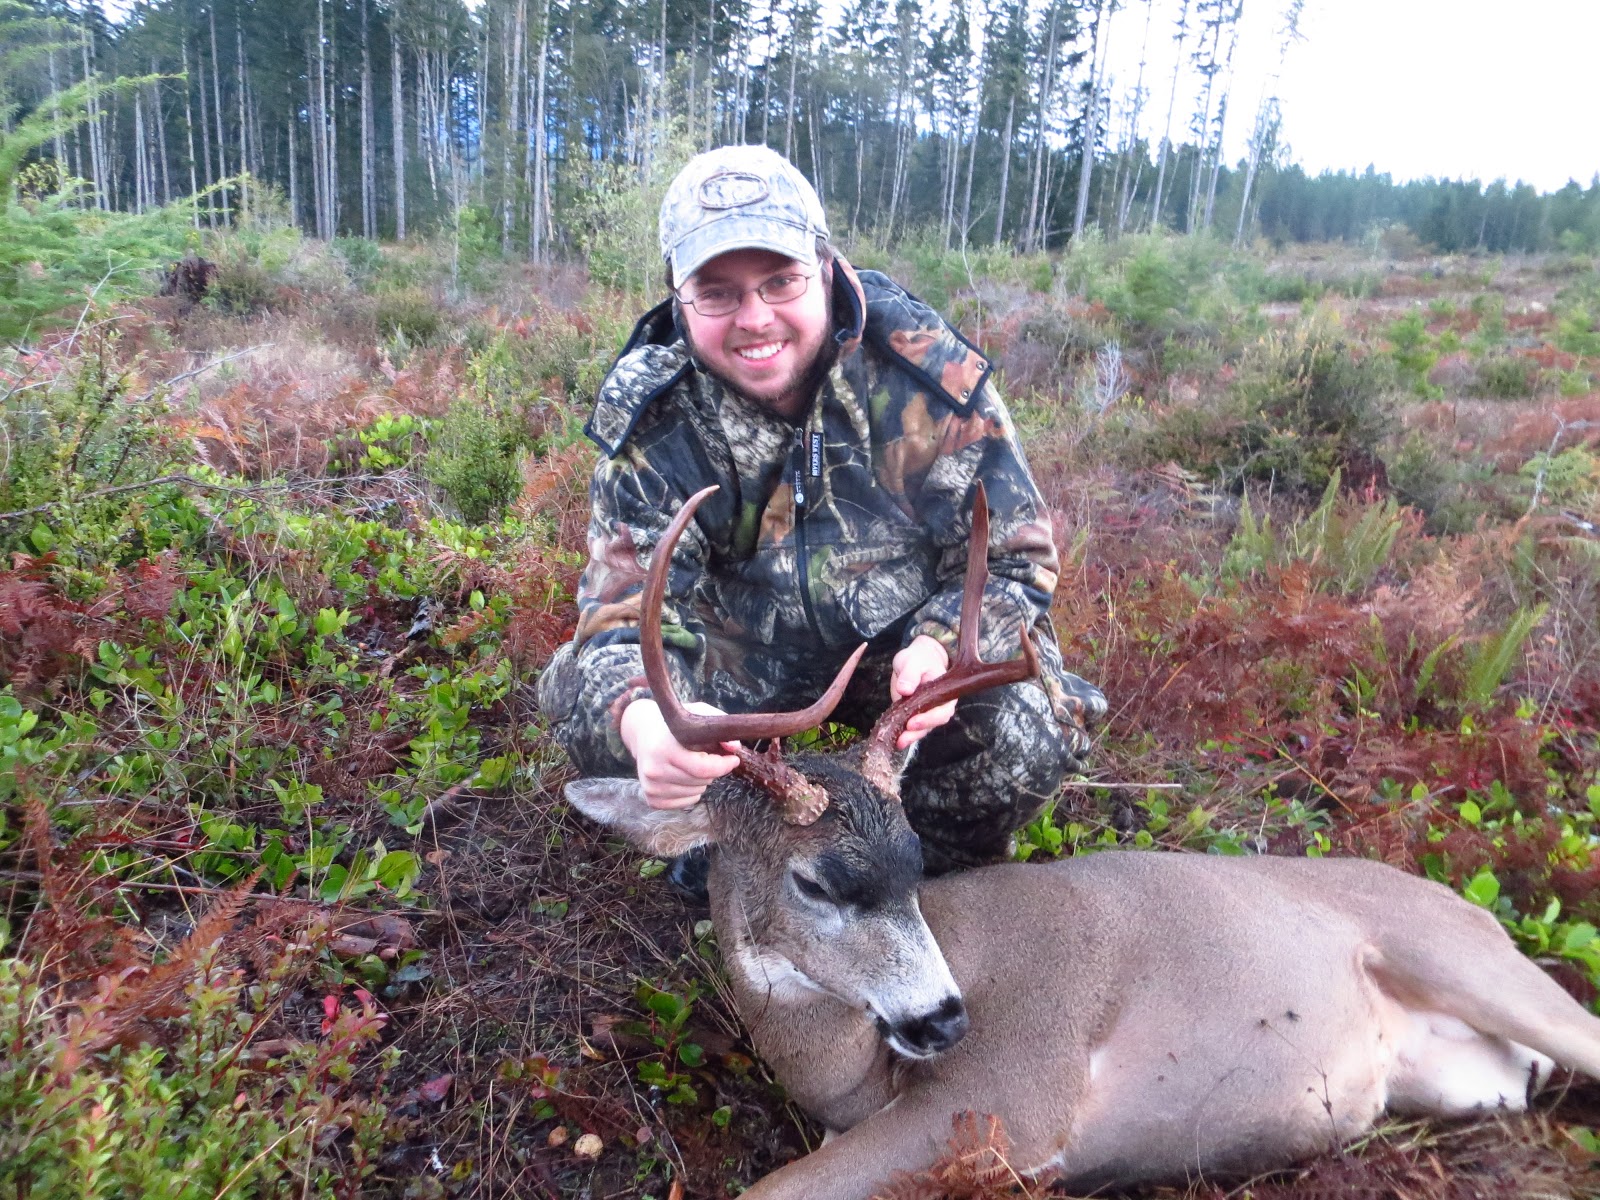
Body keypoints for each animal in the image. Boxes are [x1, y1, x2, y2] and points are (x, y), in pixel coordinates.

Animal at [564, 483, 1600, 1199]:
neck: (848, 1073)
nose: (946, 1019)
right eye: (815, 882)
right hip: (1466, 1077)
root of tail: (1473, 907)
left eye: (918, 863)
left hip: (1465, 958)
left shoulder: (1011, 1095)